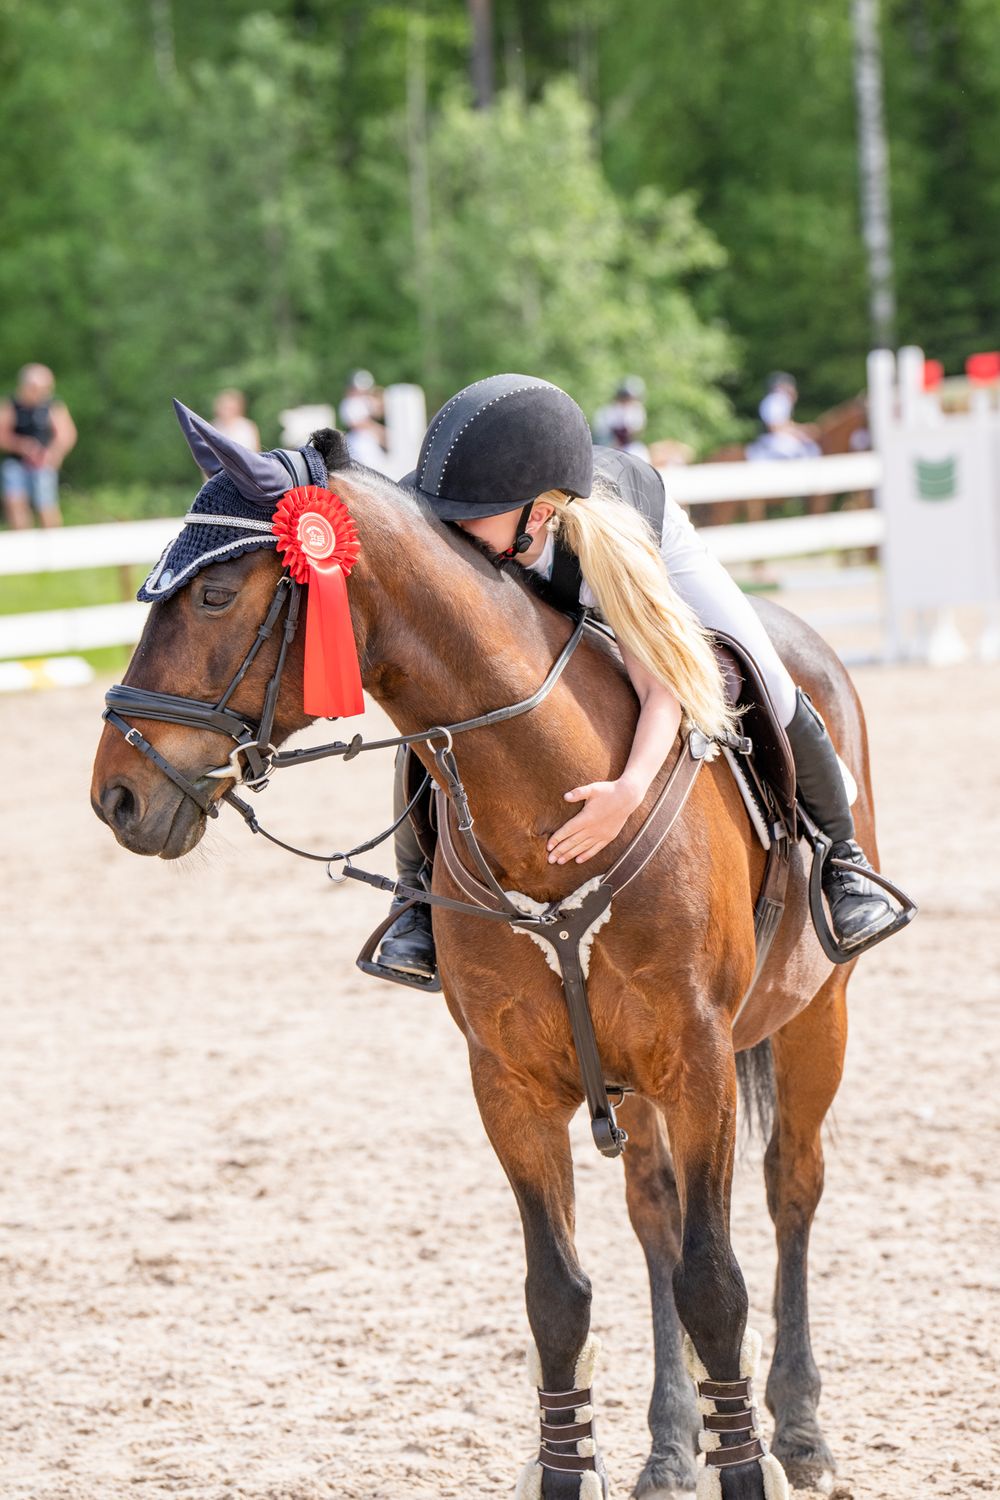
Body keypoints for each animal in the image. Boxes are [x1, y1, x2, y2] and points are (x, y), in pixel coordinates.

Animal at [91, 435, 872, 1500]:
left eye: (213, 597)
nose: (117, 794)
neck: (548, 796)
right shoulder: (509, 1083)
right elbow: (560, 1297)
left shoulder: (700, 1063)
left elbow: (716, 1285)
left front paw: (750, 1455)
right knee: (655, 1216)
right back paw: (671, 1443)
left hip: (812, 1016)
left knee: (792, 1187)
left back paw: (800, 1430)